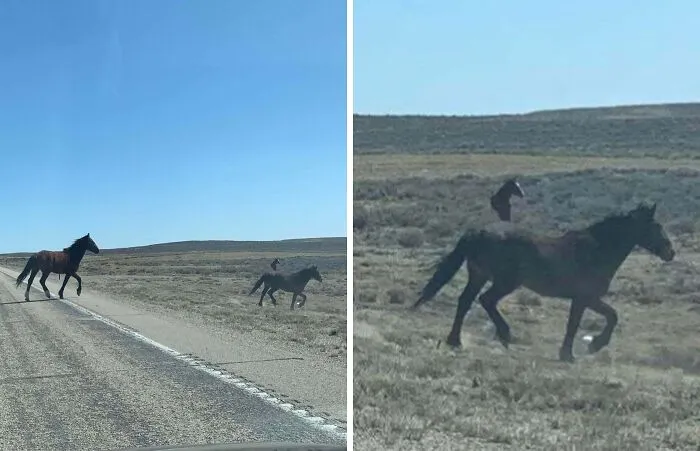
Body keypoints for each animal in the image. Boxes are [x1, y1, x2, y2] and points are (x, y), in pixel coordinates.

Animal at [411, 203, 675, 362]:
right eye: (656, 227)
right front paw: (585, 349)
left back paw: (455, 341)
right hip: (506, 281)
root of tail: (477, 233)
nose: (670, 252)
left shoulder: (582, 299)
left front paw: (574, 351)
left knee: (465, 301)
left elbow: (587, 321)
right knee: (485, 300)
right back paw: (505, 335)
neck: (597, 250)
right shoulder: (586, 298)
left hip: (479, 276)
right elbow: (604, 318)